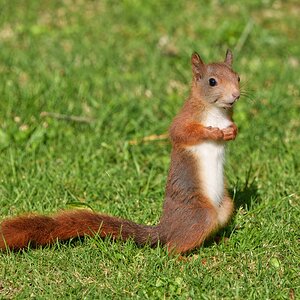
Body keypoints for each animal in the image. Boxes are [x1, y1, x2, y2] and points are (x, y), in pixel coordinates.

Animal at [0, 49, 239, 253]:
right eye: (212, 81)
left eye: (237, 77)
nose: (236, 95)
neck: (216, 111)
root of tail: (165, 229)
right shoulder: (185, 117)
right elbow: (182, 132)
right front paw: (213, 133)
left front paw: (232, 131)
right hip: (200, 214)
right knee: (170, 249)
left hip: (226, 206)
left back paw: (219, 240)